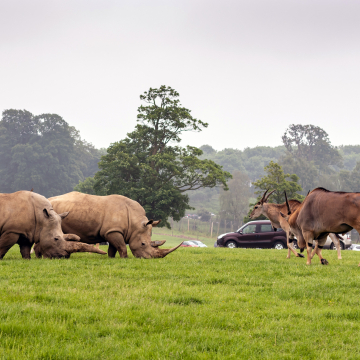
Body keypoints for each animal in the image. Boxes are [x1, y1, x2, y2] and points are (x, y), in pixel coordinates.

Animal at [48, 191, 183, 258]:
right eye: (143, 244)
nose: (149, 258)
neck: (135, 223)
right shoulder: (113, 231)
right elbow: (122, 246)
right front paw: (125, 258)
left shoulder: (112, 231)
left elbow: (113, 248)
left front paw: (111, 258)